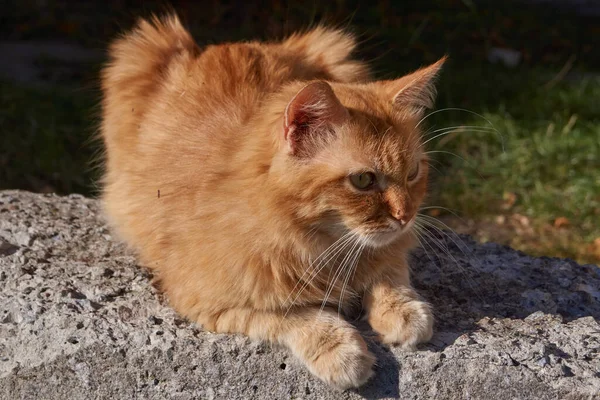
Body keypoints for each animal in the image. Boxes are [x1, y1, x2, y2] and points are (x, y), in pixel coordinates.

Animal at [99, 14, 446, 388]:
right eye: (363, 180)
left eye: (413, 173)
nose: (405, 215)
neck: (321, 246)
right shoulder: (206, 299)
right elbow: (296, 314)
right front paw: (342, 352)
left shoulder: (390, 249)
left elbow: (390, 271)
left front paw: (404, 311)